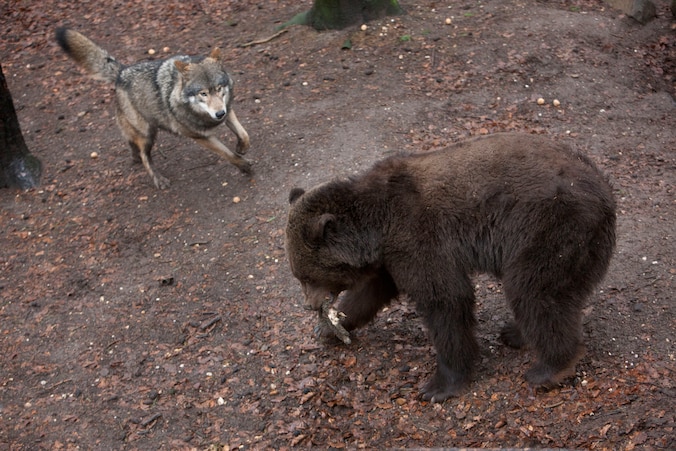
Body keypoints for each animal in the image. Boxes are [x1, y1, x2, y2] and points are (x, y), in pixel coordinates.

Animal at [55, 28, 251, 189]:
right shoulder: (200, 136)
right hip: (148, 134)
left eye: (218, 88)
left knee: (131, 143)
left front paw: (241, 147)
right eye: (203, 93)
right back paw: (158, 179)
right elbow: (226, 153)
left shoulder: (228, 109)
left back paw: (134, 157)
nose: (219, 114)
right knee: (144, 156)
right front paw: (244, 166)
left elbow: (244, 134)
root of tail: (121, 72)